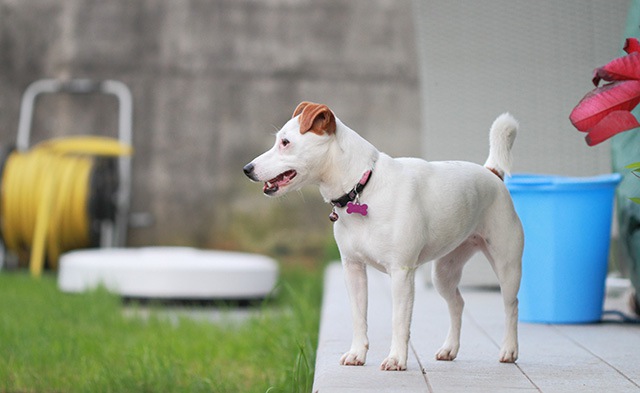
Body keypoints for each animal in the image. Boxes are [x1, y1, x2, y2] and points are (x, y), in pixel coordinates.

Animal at [242, 102, 524, 370]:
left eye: (285, 143)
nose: (247, 168)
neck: (361, 187)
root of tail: (491, 173)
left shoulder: (401, 273)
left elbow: (398, 320)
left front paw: (396, 359)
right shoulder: (353, 268)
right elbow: (358, 317)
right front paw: (357, 354)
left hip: (507, 266)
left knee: (511, 306)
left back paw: (509, 350)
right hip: (444, 272)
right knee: (457, 303)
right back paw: (449, 349)